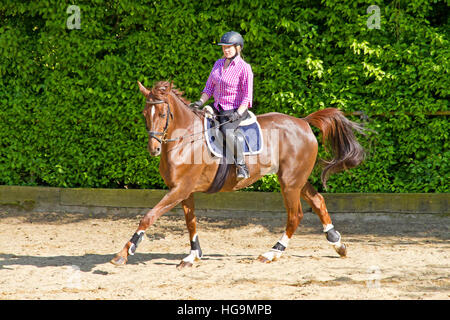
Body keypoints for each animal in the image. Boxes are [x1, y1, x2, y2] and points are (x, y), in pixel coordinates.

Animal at [110, 79, 368, 268]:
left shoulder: (179, 189)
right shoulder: (185, 190)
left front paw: (125, 251)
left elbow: (149, 216)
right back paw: (338, 243)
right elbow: (190, 222)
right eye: (145, 113)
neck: (185, 140)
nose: (153, 149)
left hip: (290, 182)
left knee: (295, 215)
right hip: (296, 179)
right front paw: (193, 255)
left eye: (163, 114)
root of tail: (303, 122)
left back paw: (272, 253)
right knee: (318, 201)